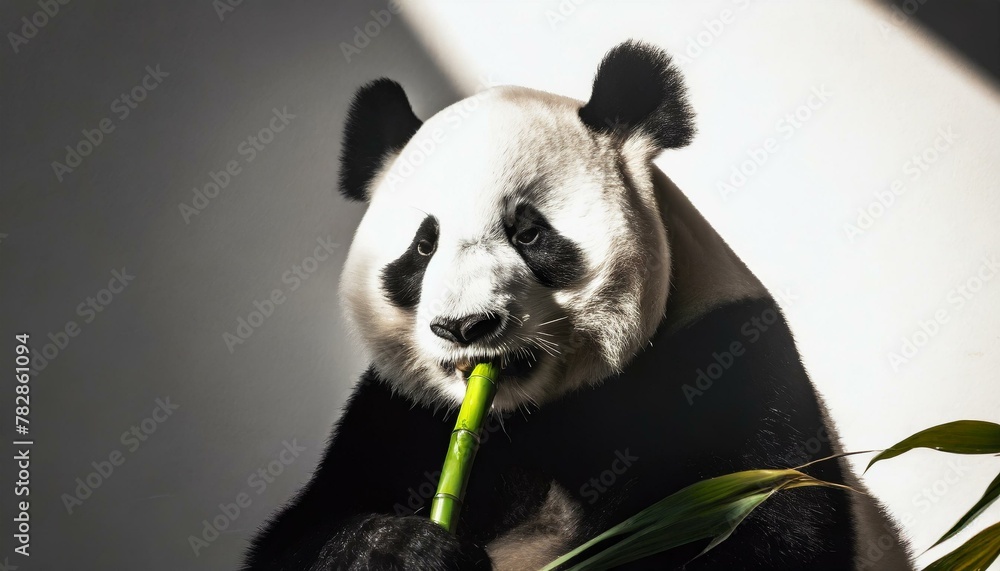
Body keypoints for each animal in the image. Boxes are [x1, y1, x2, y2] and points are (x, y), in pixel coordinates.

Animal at [243, 41, 913, 570]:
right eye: (423, 245)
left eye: (529, 232)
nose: (465, 326)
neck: (530, 412)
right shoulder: (402, 415)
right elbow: (300, 532)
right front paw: (402, 549)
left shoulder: (727, 363)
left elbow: (769, 530)